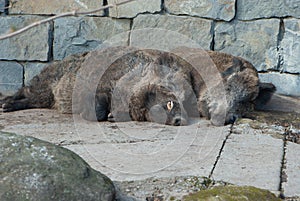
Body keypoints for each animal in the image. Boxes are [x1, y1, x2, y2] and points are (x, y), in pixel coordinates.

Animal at [0, 46, 276, 126]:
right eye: (229, 87)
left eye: (247, 102)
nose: (230, 118)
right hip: (44, 82)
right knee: (27, 91)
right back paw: (5, 105)